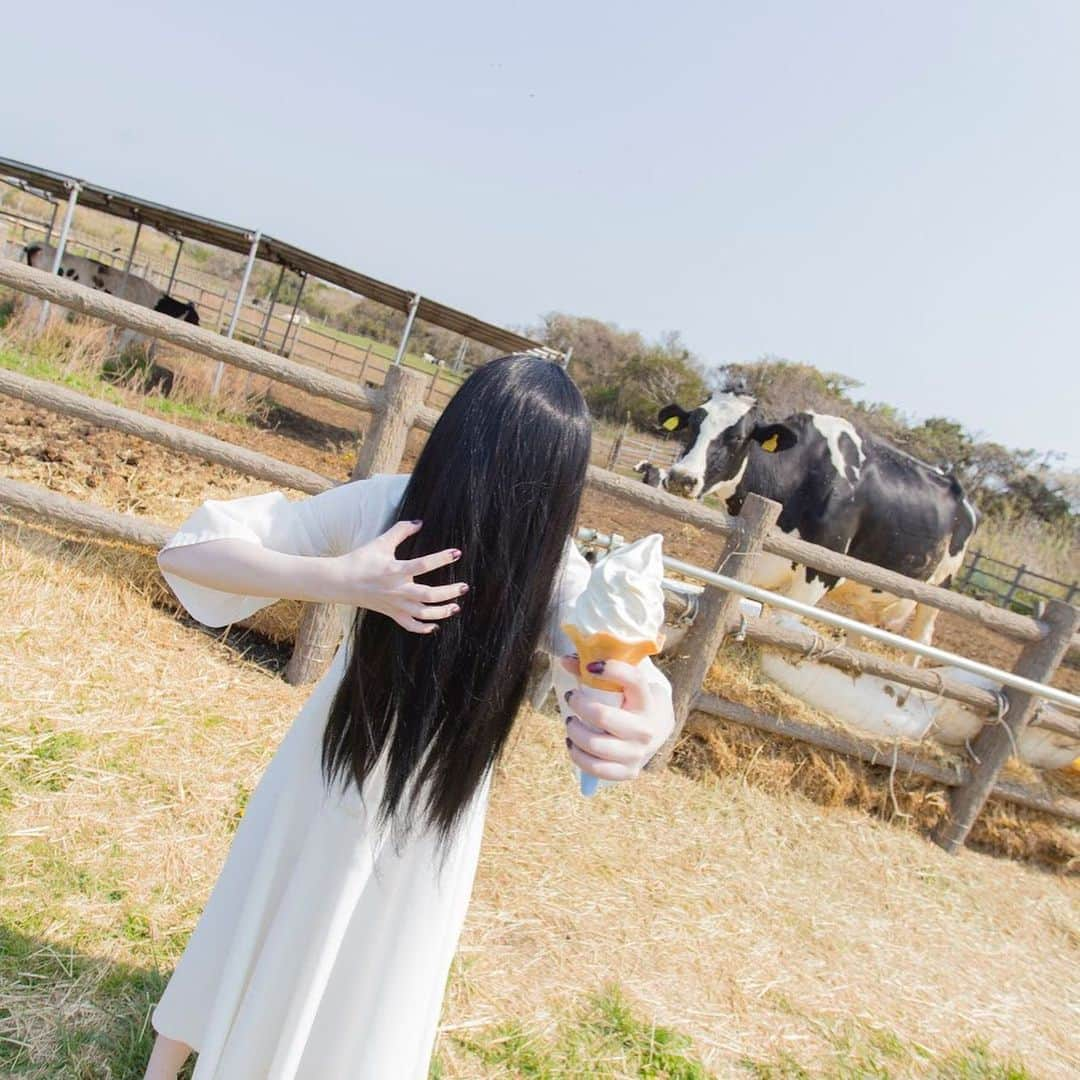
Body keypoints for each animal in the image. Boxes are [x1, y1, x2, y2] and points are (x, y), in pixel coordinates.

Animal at [648, 395, 980, 648]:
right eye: (691, 427)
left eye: (738, 437)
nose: (681, 478)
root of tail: (962, 495)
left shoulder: (822, 571)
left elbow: (783, 622)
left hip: (938, 591)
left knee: (921, 639)